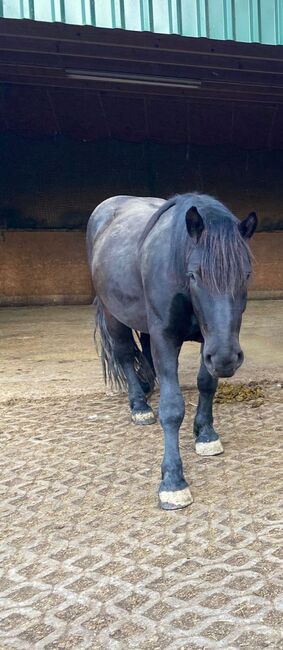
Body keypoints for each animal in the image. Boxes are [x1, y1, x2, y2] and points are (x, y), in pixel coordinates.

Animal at [86, 191, 258, 506]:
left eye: (246, 275)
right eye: (194, 275)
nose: (228, 359)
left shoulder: (209, 342)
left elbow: (206, 384)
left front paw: (205, 434)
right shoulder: (166, 339)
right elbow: (172, 407)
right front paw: (173, 480)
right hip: (114, 315)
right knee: (125, 355)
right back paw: (139, 406)